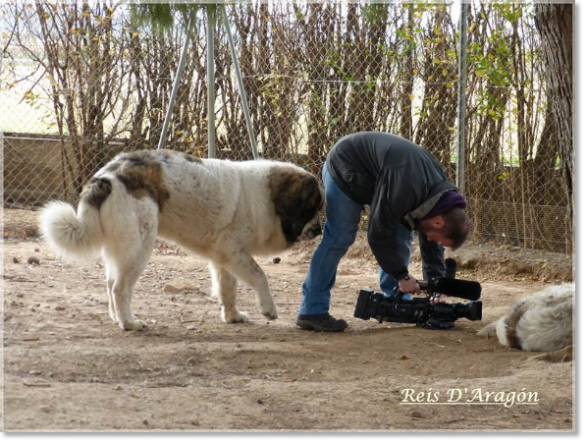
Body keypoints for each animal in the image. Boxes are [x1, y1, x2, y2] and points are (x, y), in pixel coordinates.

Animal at [40, 151, 324, 332]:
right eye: (312, 208)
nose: (320, 230)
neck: (266, 198)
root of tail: (106, 176)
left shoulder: (223, 257)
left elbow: (227, 287)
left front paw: (232, 316)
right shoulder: (234, 252)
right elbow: (259, 276)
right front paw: (268, 308)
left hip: (121, 248)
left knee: (110, 283)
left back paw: (116, 318)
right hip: (139, 247)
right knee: (120, 288)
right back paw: (129, 323)